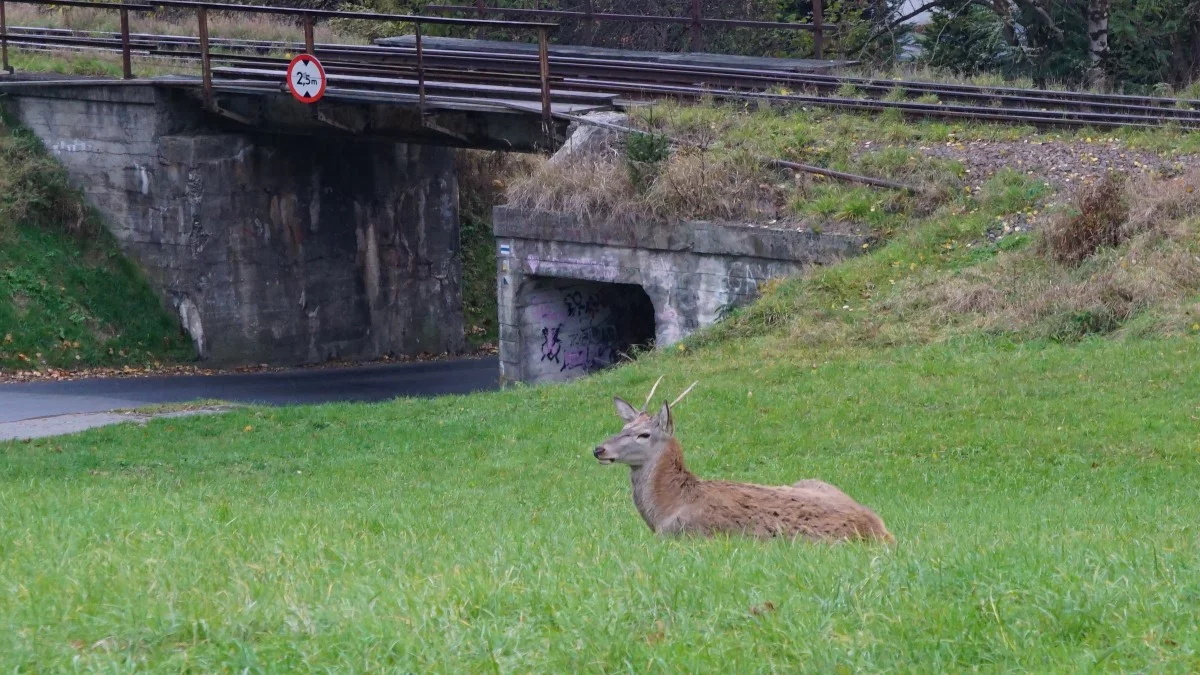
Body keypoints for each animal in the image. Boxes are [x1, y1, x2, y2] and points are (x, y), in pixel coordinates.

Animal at [595, 374, 897, 542]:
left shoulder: (682, 535)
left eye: (644, 434)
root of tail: (879, 531)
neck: (664, 509)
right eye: (623, 427)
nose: (599, 449)